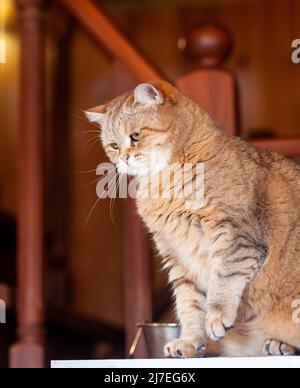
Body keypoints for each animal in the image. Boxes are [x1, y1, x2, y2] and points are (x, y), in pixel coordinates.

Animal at [85, 81, 300, 358]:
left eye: (135, 136)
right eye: (113, 145)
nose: (124, 158)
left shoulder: (235, 239)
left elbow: (222, 282)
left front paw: (216, 317)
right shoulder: (179, 261)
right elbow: (190, 308)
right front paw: (188, 343)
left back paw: (282, 344)